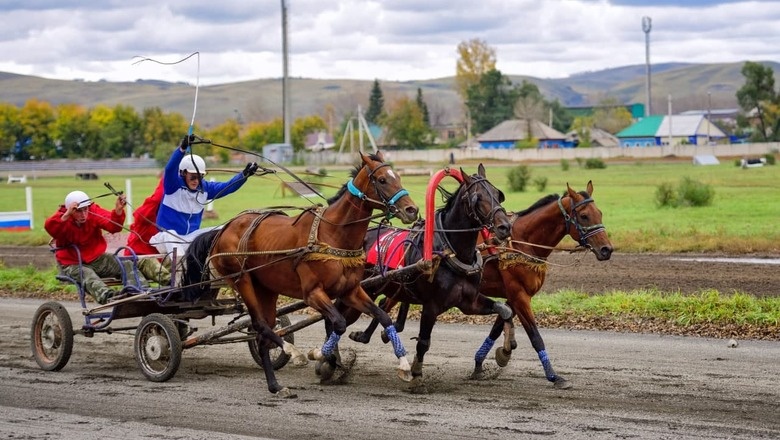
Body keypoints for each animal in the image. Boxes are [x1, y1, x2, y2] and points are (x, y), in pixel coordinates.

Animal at [184, 150, 420, 396]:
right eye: (382, 180)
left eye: (398, 177)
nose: (412, 210)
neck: (332, 234)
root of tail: (225, 228)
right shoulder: (313, 293)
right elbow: (338, 323)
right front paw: (319, 355)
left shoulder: (351, 291)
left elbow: (382, 316)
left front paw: (404, 364)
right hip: (243, 280)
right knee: (260, 324)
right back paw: (292, 352)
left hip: (266, 288)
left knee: (263, 332)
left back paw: (275, 385)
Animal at [344, 164, 516, 392]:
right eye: (477, 198)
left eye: (498, 194)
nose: (505, 227)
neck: (450, 252)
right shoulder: (431, 305)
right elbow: (424, 342)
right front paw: (416, 373)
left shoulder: (468, 302)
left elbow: (505, 310)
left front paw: (505, 351)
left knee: (377, 307)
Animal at [472, 180, 612, 386]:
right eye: (584, 215)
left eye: (600, 212)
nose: (606, 249)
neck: (521, 242)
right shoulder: (519, 295)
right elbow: (535, 336)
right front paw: (554, 376)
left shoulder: (513, 296)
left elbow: (497, 327)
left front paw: (487, 360)